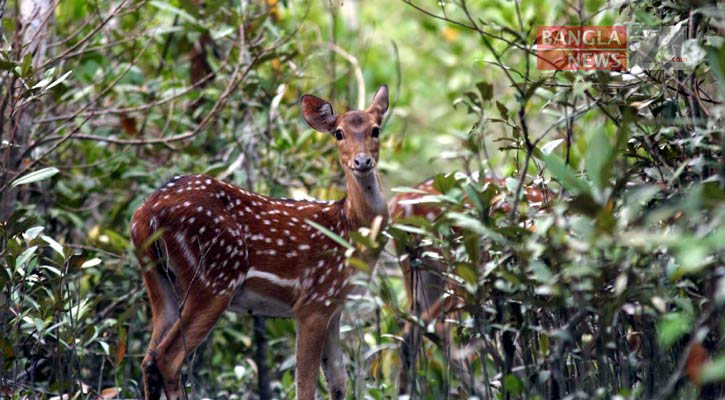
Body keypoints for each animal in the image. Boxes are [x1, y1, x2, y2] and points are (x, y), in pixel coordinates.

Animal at [130, 84, 390, 400]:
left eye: (376, 129)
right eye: (338, 133)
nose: (362, 161)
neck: (349, 229)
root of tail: (145, 214)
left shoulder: (335, 305)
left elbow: (339, 383)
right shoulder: (313, 301)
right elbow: (306, 385)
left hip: (159, 279)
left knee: (148, 358)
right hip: (214, 278)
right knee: (167, 358)